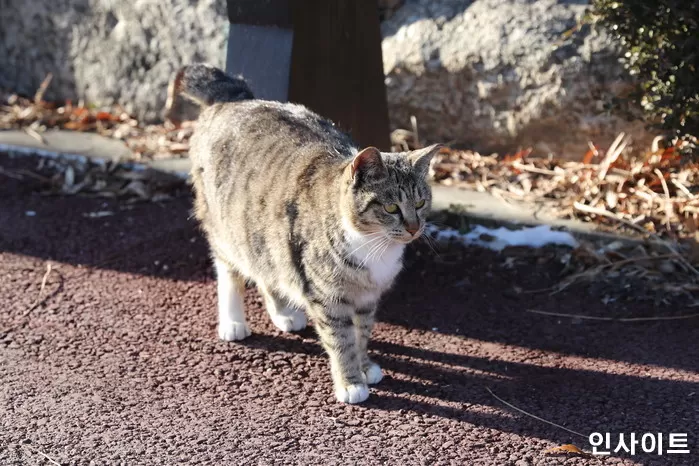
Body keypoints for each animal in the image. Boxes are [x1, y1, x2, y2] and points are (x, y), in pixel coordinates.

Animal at [172, 63, 440, 402]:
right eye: (391, 207)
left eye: (420, 202)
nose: (414, 228)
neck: (373, 245)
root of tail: (235, 98)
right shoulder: (329, 298)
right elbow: (342, 341)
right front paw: (351, 382)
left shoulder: (366, 298)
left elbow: (362, 333)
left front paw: (365, 366)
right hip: (225, 229)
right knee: (229, 271)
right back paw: (233, 322)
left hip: (264, 235)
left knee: (267, 270)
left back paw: (284, 314)